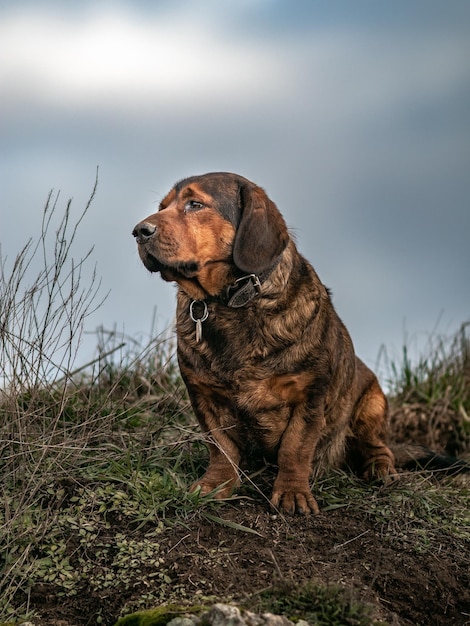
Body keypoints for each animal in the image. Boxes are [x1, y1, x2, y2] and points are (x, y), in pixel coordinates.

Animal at [132, 172, 400, 512]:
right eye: (162, 207)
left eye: (195, 204)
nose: (139, 231)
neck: (230, 302)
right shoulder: (204, 396)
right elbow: (221, 446)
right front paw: (216, 484)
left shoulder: (309, 396)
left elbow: (295, 448)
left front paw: (292, 493)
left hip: (372, 402)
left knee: (377, 445)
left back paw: (380, 468)